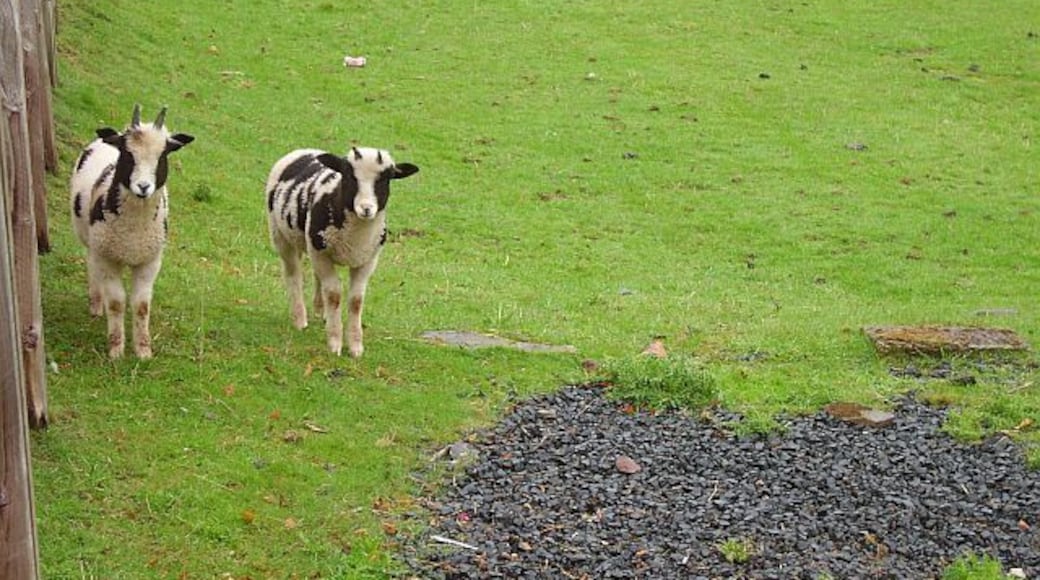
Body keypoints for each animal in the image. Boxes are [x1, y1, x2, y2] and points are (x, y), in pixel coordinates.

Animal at [69, 104, 195, 358]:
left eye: (162, 156)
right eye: (128, 154)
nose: (143, 187)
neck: (133, 231)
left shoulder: (150, 261)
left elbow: (141, 306)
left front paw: (143, 350)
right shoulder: (107, 257)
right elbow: (117, 302)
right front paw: (116, 349)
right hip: (92, 242)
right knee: (92, 266)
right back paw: (96, 305)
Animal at [266, 146, 419, 357]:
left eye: (386, 178)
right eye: (349, 176)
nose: (366, 209)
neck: (357, 235)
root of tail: (303, 150)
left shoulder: (367, 260)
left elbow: (356, 301)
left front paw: (355, 347)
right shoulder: (321, 253)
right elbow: (334, 295)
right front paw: (334, 343)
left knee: (316, 277)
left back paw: (320, 311)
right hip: (281, 235)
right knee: (293, 274)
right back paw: (300, 319)